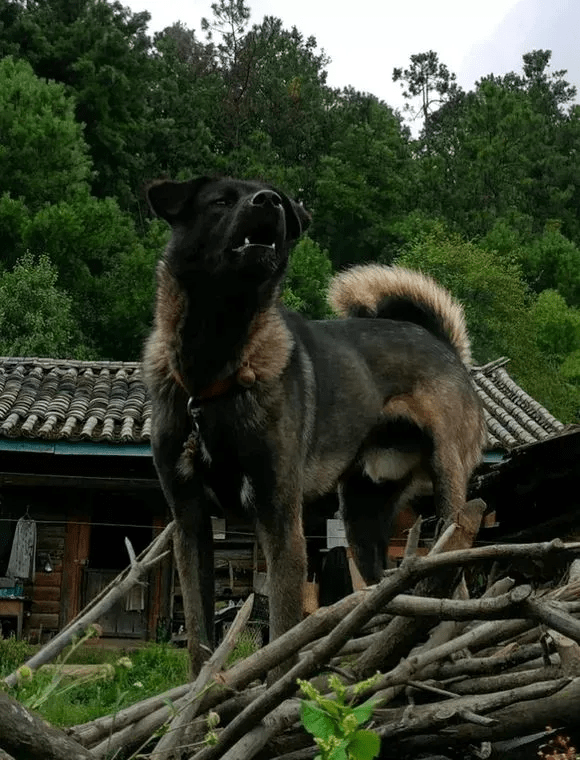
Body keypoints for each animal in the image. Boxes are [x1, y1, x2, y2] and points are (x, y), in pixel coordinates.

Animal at [143, 177, 488, 676]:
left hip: (449, 497)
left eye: (272, 196)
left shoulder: (280, 519)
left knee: (453, 583)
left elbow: (283, 633)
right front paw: (201, 693)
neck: (214, 366)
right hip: (362, 521)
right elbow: (199, 639)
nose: (268, 202)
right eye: (221, 200)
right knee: (385, 593)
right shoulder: (190, 526)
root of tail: (444, 346)